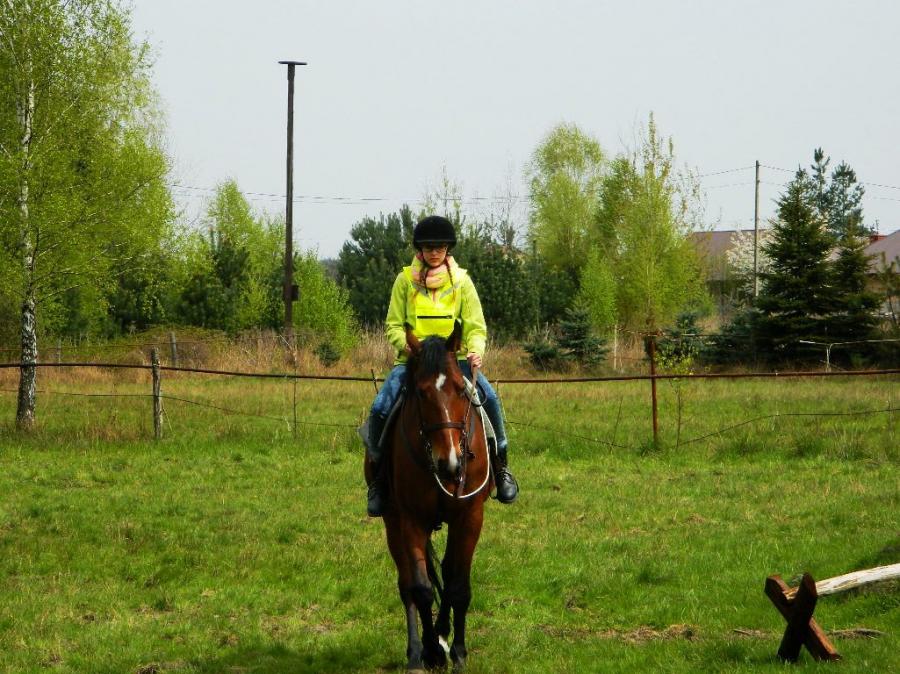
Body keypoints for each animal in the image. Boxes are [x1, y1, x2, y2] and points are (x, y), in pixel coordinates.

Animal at [366, 322, 492, 673]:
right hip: (393, 522)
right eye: (421, 392)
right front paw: (431, 652)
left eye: (460, 389)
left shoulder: (469, 516)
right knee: (407, 584)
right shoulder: (411, 519)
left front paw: (458, 652)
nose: (449, 462)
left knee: (447, 573)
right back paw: (417, 650)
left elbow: (457, 586)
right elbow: (421, 589)